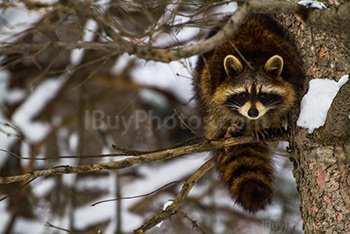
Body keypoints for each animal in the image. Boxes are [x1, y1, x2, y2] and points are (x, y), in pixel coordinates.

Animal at [193, 13, 304, 213]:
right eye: (243, 94)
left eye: (263, 94)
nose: (253, 113)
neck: (253, 60)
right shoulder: (213, 82)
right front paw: (253, 125)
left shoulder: (293, 71)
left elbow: (288, 102)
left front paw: (275, 120)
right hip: (203, 84)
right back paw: (229, 133)